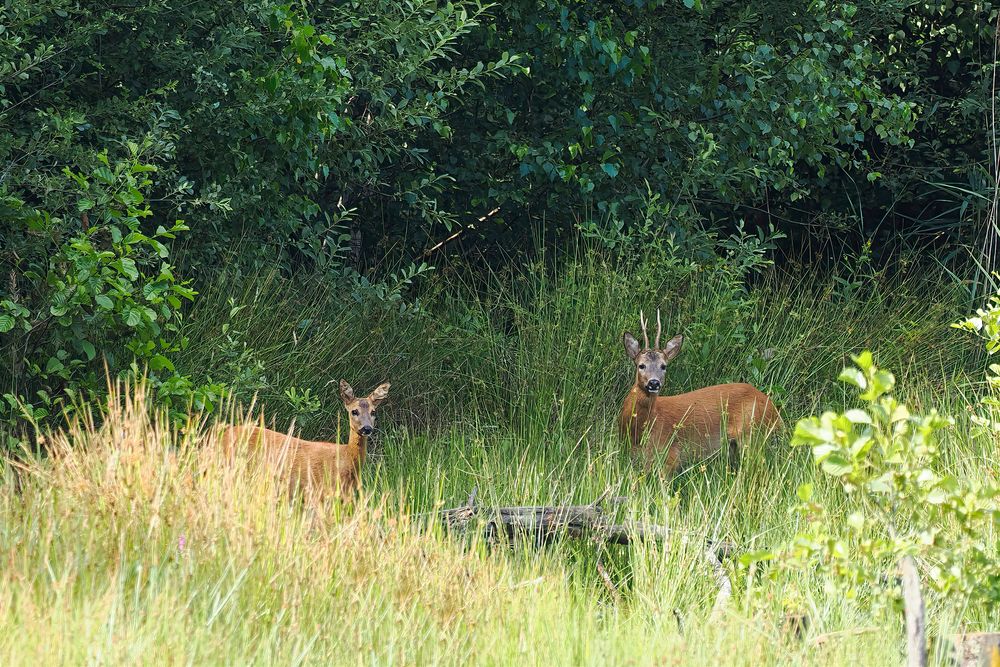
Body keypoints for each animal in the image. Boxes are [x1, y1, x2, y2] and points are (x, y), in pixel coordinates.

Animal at [616, 314, 780, 474]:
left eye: (664, 366)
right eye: (641, 365)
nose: (654, 383)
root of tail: (774, 409)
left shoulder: (670, 455)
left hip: (752, 433)